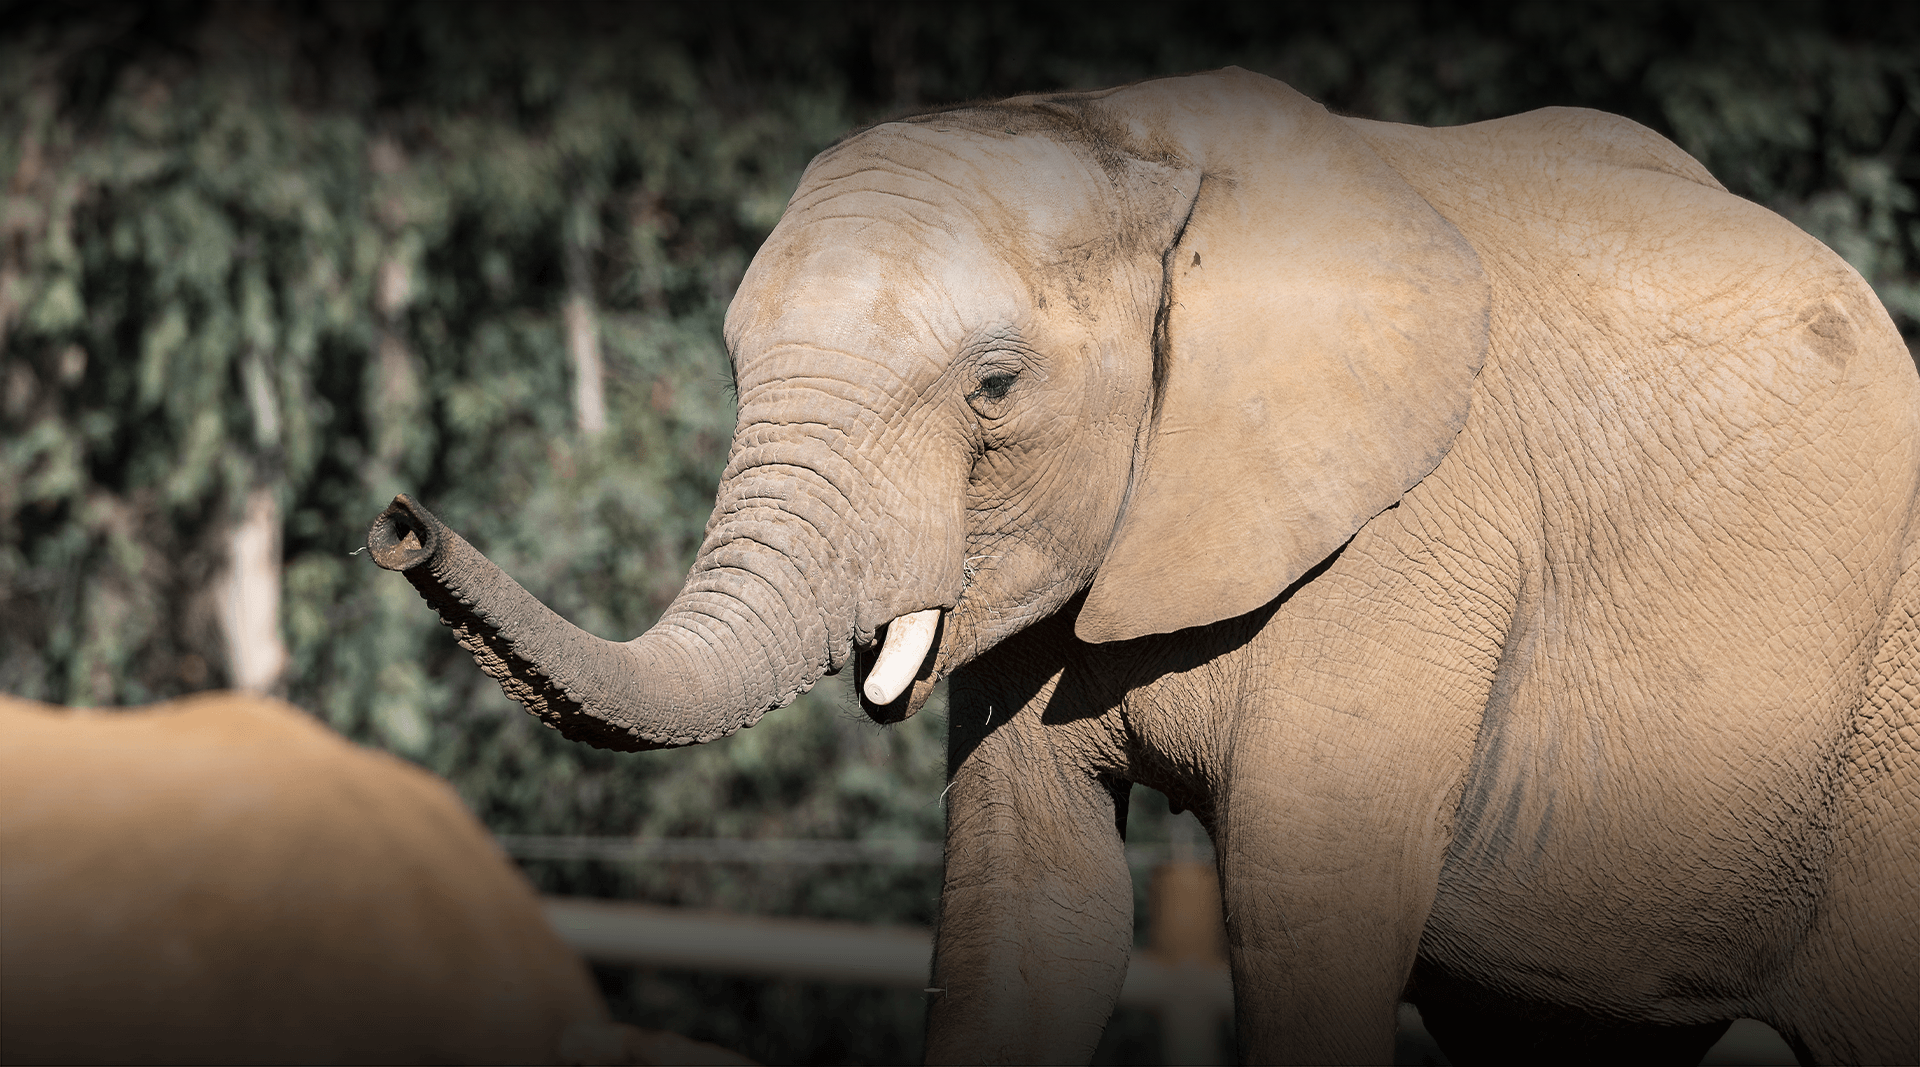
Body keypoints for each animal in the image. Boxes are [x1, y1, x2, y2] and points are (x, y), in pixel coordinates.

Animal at [362, 71, 1920, 1059]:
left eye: (995, 387)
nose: (395, 521)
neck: (1147, 150)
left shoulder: (1412, 544)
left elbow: (1306, 923)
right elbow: (1030, 915)